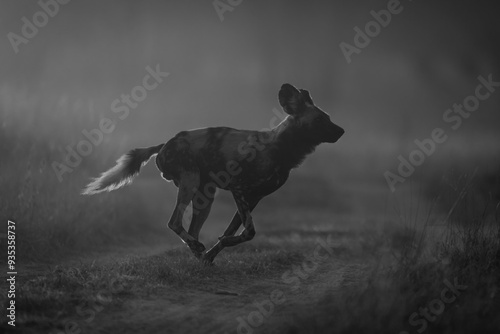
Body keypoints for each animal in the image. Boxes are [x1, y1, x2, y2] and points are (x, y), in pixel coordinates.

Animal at [84, 84, 346, 264]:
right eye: (320, 119)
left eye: (328, 118)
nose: (342, 131)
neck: (280, 147)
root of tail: (165, 143)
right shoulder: (240, 191)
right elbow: (249, 232)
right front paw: (216, 248)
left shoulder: (253, 199)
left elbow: (234, 231)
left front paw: (214, 251)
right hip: (189, 183)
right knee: (174, 222)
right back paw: (197, 248)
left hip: (205, 197)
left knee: (190, 229)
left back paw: (199, 253)